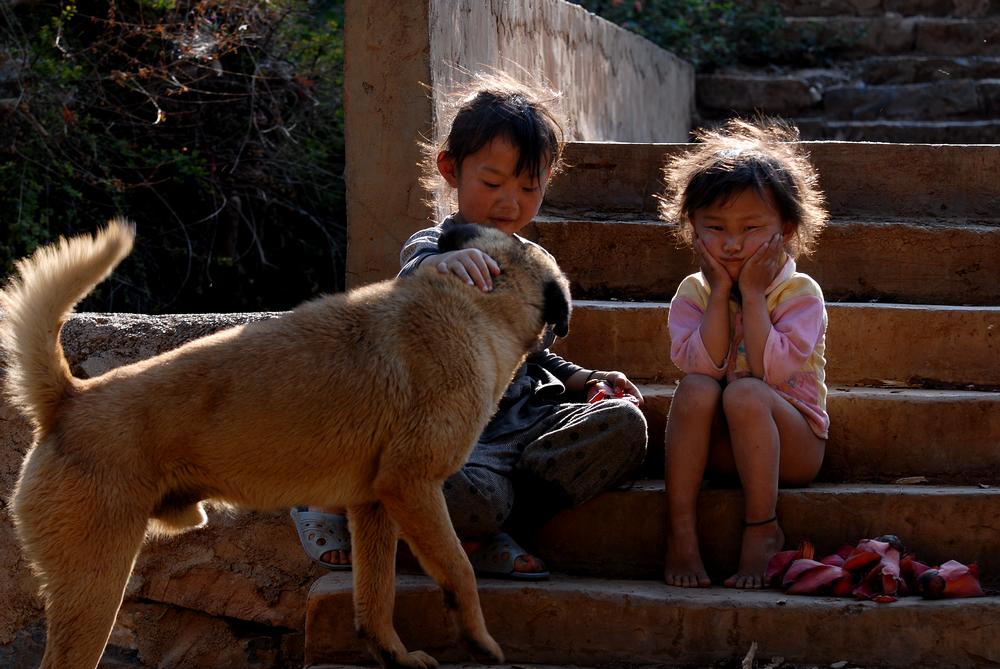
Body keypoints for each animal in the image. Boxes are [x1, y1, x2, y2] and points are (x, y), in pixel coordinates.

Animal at [0, 220, 572, 668]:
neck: (472, 302)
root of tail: (70, 400)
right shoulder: (414, 487)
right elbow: (459, 569)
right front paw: (479, 641)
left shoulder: (375, 507)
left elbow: (377, 596)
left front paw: (395, 656)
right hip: (96, 587)